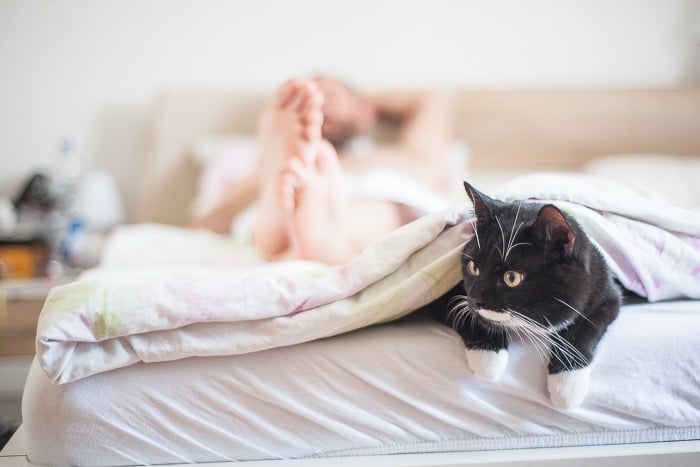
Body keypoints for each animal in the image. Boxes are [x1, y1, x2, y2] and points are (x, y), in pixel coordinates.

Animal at [434, 183, 620, 410]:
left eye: (511, 277)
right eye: (473, 267)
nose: (475, 300)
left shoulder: (607, 292)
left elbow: (589, 325)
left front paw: (567, 382)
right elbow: (463, 313)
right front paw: (488, 358)